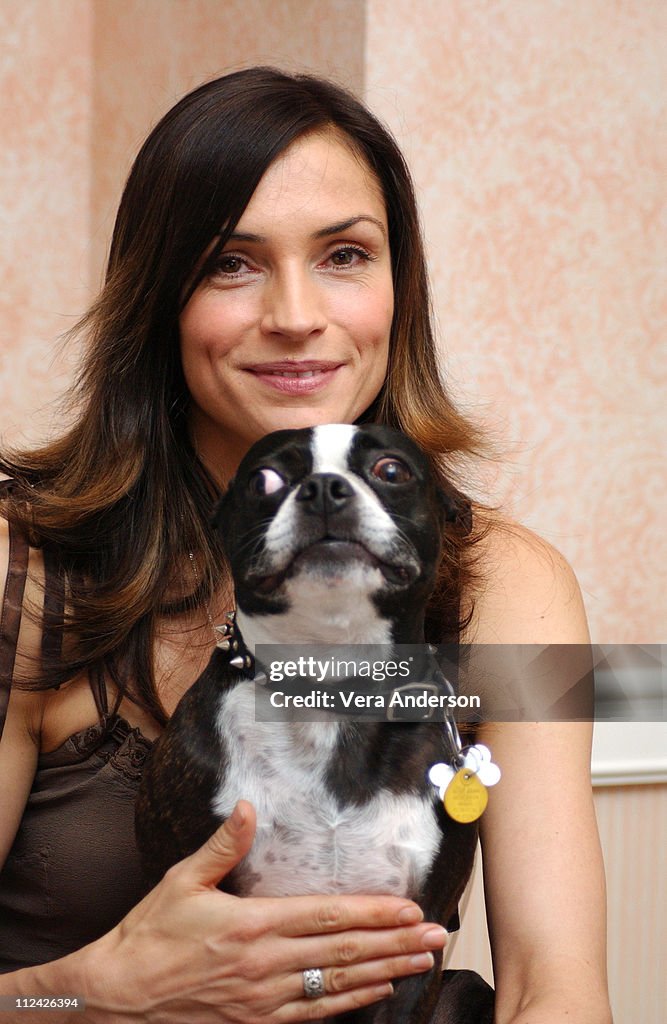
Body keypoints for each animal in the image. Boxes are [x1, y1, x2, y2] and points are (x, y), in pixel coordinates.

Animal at [135, 425, 493, 1024]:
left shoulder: (419, 942)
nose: (324, 487)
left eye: (391, 471)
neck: (331, 686)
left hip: (464, 988)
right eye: (263, 479)